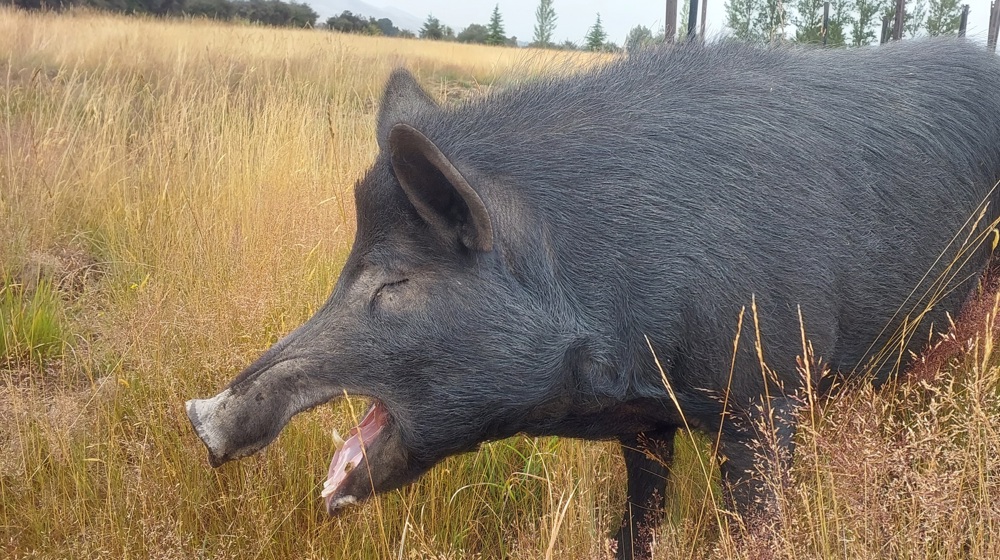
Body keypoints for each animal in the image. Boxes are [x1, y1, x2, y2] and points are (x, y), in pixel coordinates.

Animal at [186, 40, 1000, 559]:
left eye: (396, 283)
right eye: (347, 267)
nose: (203, 415)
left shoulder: (768, 395)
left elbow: (756, 527)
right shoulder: (645, 425)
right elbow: (636, 526)